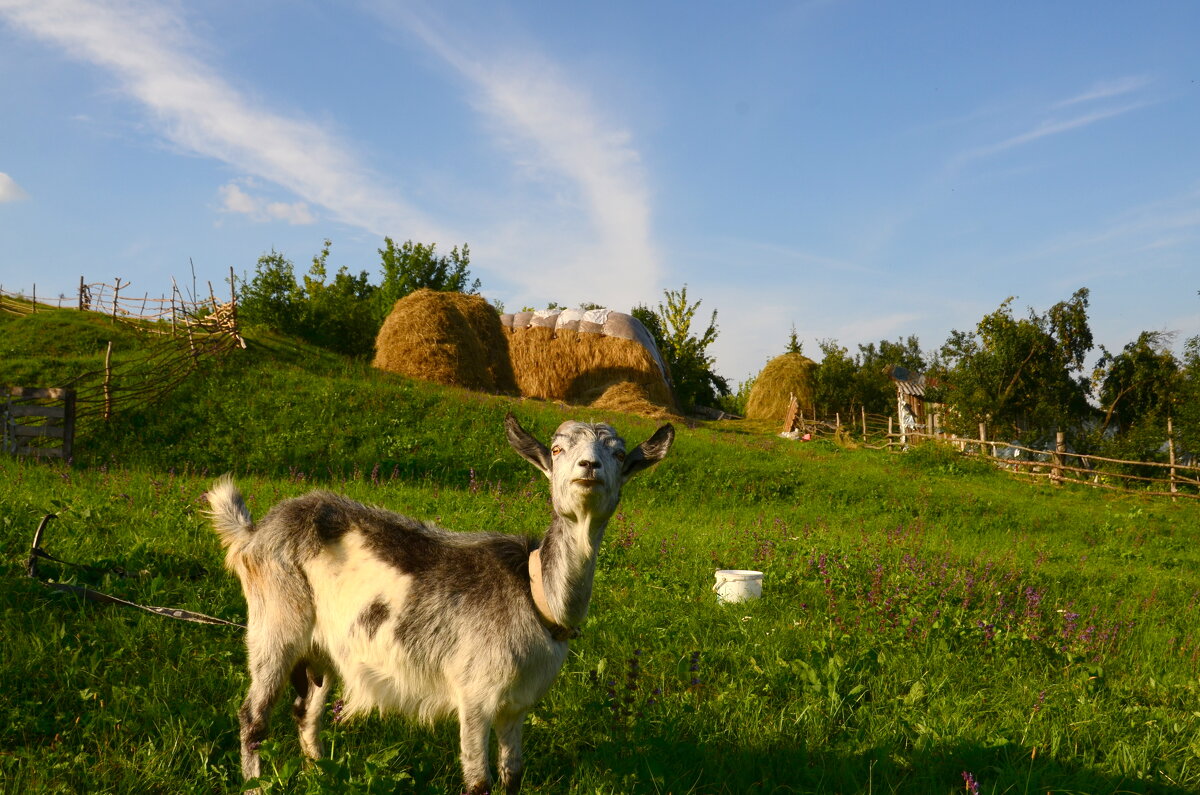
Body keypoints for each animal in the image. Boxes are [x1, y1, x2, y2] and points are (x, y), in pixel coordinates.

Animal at [207, 413, 676, 792]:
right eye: (558, 449)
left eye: (618, 454)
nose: (588, 467)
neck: (535, 594)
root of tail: (254, 533)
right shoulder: (475, 695)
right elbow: (478, 782)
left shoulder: (517, 704)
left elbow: (512, 777)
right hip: (275, 622)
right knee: (253, 717)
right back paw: (255, 785)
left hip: (322, 647)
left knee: (307, 711)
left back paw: (322, 776)